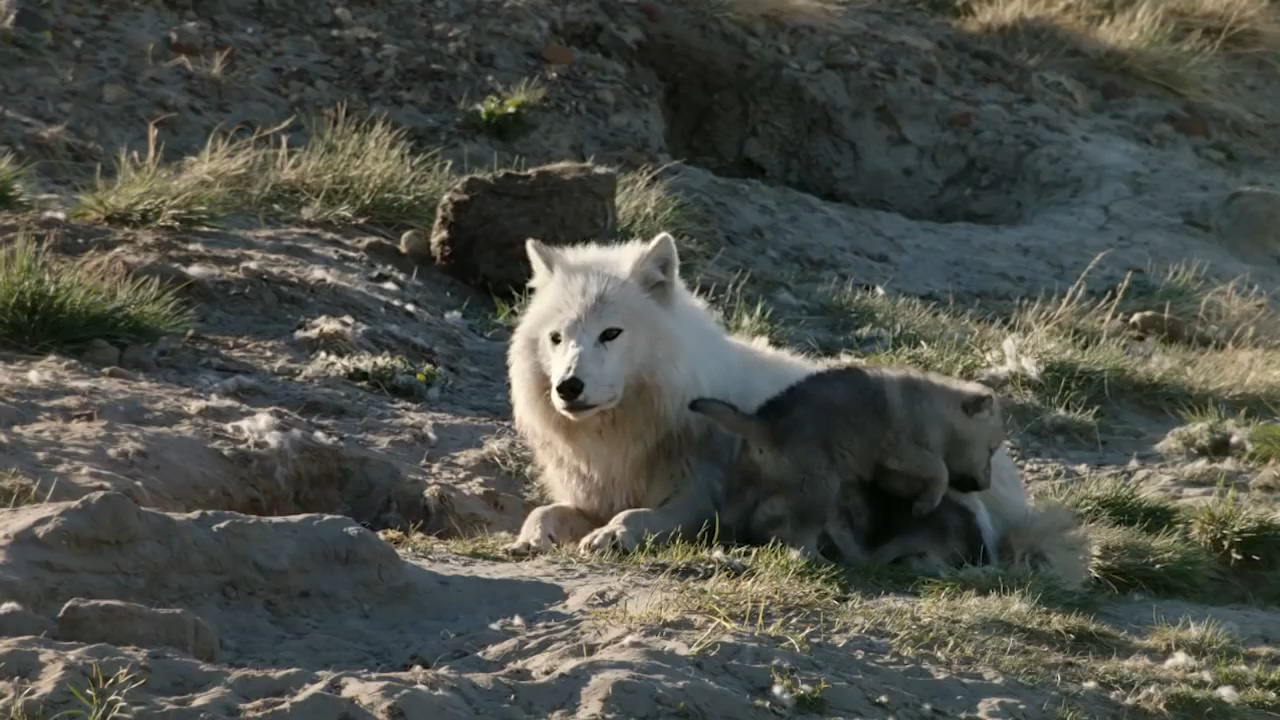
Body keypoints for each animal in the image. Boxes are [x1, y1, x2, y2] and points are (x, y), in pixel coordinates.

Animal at [504, 233, 1085, 586]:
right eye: (557, 338)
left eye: (611, 334)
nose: (569, 387)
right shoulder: (592, 492)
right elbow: (544, 512)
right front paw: (531, 537)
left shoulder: (699, 504)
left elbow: (639, 516)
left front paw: (612, 535)